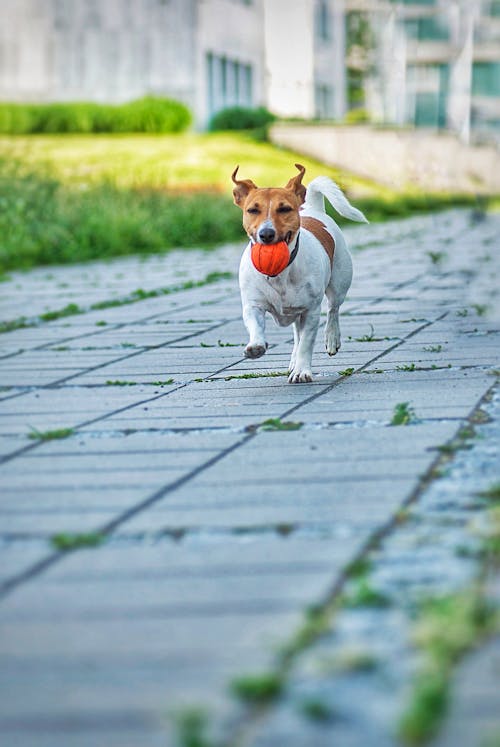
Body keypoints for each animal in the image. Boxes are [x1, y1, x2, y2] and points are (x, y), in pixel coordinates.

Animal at [231, 164, 368, 386]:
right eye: (252, 210)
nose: (266, 234)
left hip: (338, 284)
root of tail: (313, 208)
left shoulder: (311, 311)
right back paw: (293, 359)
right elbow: (256, 326)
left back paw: (331, 339)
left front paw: (302, 372)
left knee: (333, 310)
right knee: (297, 334)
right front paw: (256, 346)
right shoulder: (253, 305)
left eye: (284, 208)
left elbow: (306, 343)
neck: (279, 272)